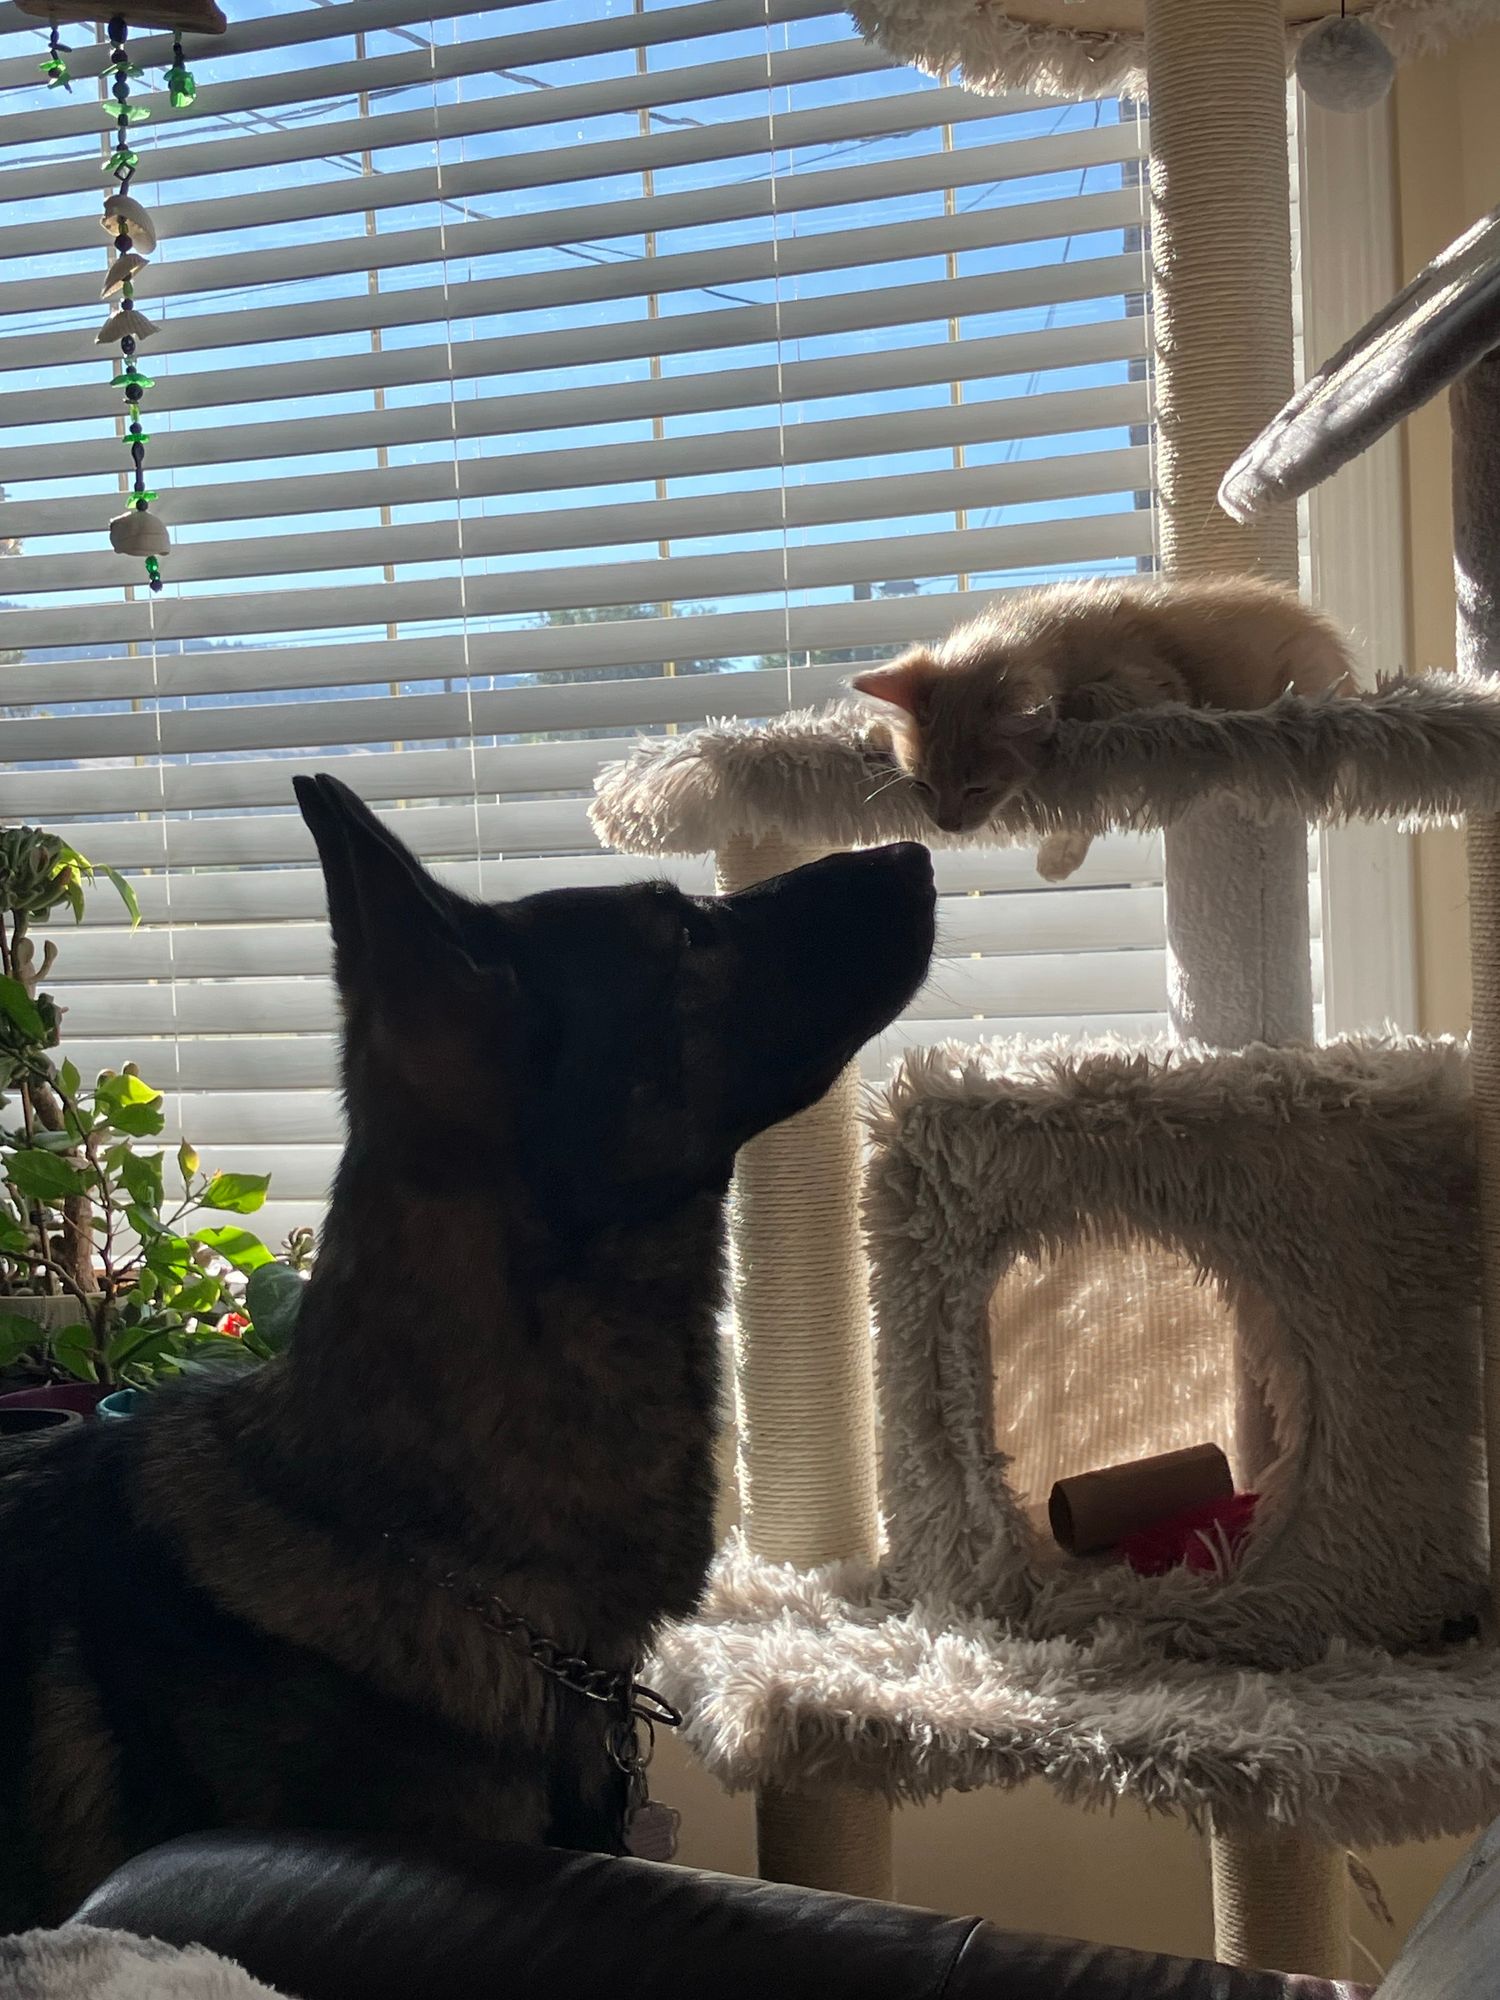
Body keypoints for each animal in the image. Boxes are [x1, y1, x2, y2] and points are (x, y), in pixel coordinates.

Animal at [852, 568, 1360, 872]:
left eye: (978, 789)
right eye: (921, 786)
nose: (946, 825)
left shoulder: (1159, 686)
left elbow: (1083, 703)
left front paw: (1058, 856)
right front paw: (872, 730)